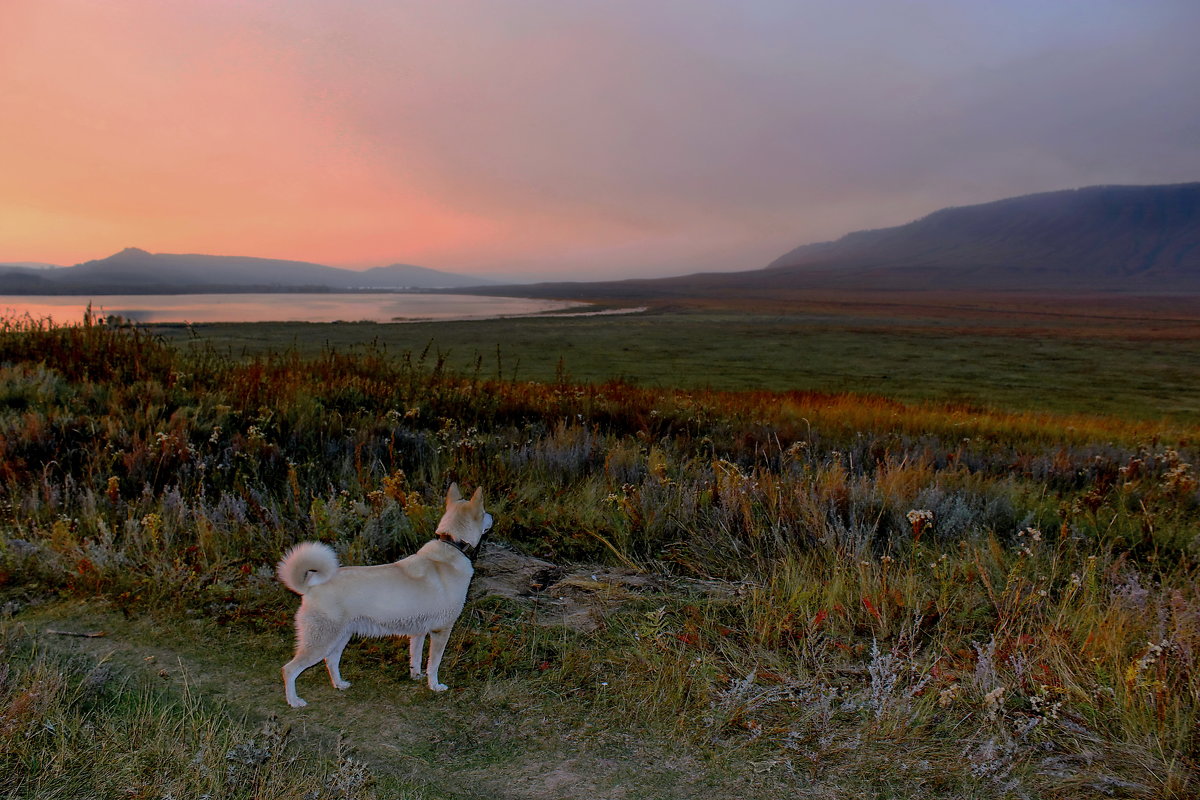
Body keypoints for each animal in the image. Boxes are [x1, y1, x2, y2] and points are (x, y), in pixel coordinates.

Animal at [277, 482, 492, 705]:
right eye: (484, 512)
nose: (492, 517)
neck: (452, 543)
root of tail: (310, 585)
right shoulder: (441, 630)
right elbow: (434, 664)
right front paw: (434, 686)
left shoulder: (419, 632)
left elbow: (416, 658)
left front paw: (416, 676)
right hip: (320, 641)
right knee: (289, 670)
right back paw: (294, 701)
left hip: (340, 638)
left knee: (331, 661)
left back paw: (339, 684)